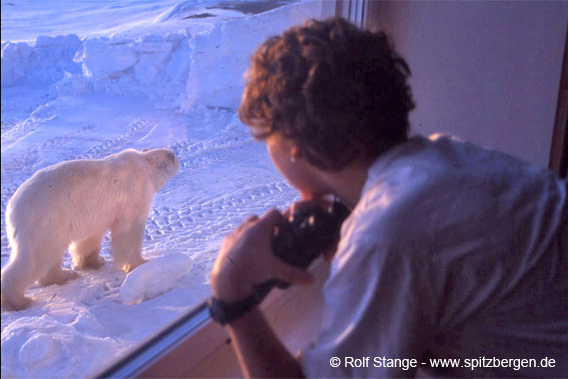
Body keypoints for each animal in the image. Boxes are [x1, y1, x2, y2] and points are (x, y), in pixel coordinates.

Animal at [1, 148, 179, 312]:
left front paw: (94, 262)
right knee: (35, 258)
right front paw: (140, 263)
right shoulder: (133, 194)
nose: (176, 155)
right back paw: (18, 301)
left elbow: (89, 237)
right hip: (44, 220)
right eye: (171, 156)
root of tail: (11, 208)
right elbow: (129, 231)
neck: (144, 163)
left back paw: (65, 275)